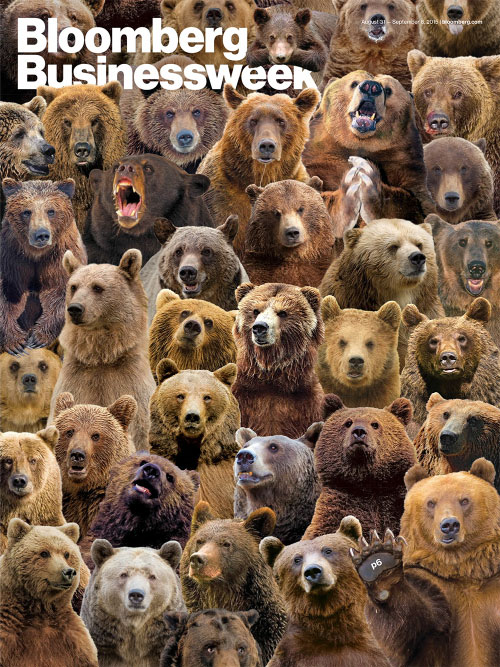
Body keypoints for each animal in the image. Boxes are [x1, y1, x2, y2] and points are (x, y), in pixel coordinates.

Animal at [0, 178, 86, 354]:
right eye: (27, 212)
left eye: (51, 211)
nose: (41, 234)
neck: (36, 254)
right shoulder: (12, 257)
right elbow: (9, 293)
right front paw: (15, 343)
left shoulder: (60, 256)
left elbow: (61, 291)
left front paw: (38, 338)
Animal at [48, 250, 156, 451]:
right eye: (73, 286)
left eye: (97, 287)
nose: (75, 309)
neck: (101, 356)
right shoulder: (76, 382)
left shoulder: (130, 384)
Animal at [302, 72, 434, 231]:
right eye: (354, 83)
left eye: (388, 89)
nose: (371, 87)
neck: (361, 144)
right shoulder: (319, 160)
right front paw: (348, 191)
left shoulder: (405, 165)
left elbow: (421, 207)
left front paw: (369, 180)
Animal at [351, 459, 500, 667]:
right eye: (431, 502)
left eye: (464, 500)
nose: (449, 525)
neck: (462, 569)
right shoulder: (430, 582)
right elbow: (406, 630)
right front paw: (378, 562)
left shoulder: (493, 586)